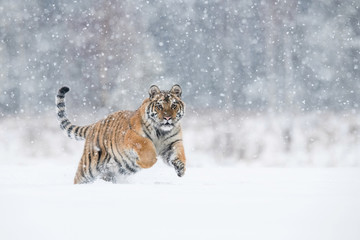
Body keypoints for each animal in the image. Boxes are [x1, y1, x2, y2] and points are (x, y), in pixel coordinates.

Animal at [56, 84, 187, 184]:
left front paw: (181, 168)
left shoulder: (173, 143)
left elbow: (179, 154)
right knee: (78, 178)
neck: (161, 131)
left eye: (173, 105)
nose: (167, 118)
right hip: (89, 166)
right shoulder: (131, 136)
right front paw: (141, 162)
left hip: (109, 172)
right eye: (159, 106)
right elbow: (148, 148)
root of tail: (95, 124)